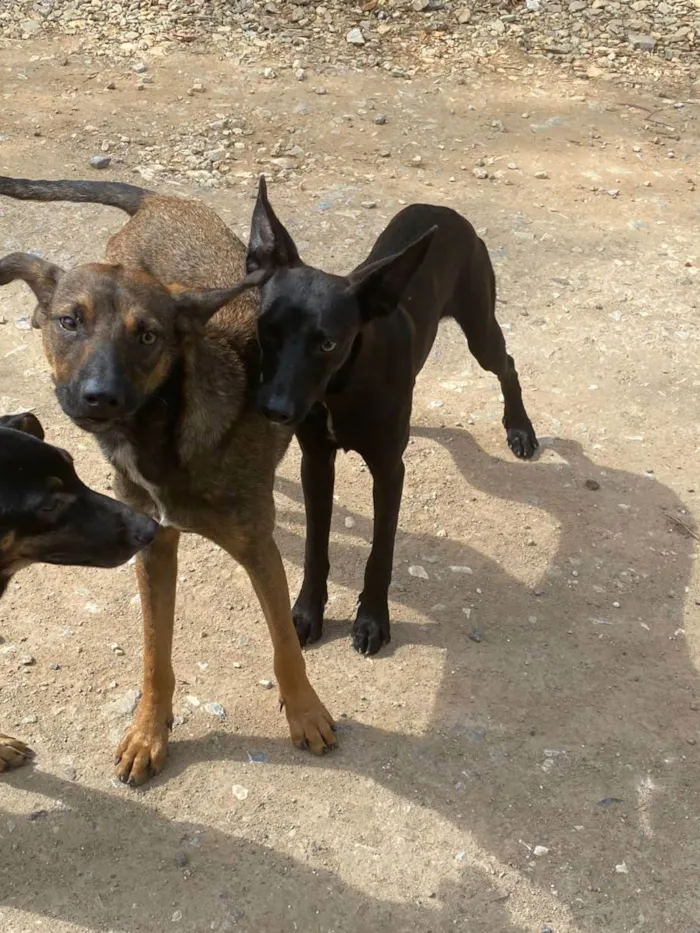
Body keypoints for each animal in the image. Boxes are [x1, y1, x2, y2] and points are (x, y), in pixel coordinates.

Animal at [243, 177, 540, 656]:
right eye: (266, 330)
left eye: (328, 344)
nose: (275, 408)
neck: (340, 388)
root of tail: (444, 210)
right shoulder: (316, 463)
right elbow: (314, 546)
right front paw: (306, 614)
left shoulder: (388, 471)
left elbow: (380, 553)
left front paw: (371, 621)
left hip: (480, 330)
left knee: (507, 364)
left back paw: (520, 429)